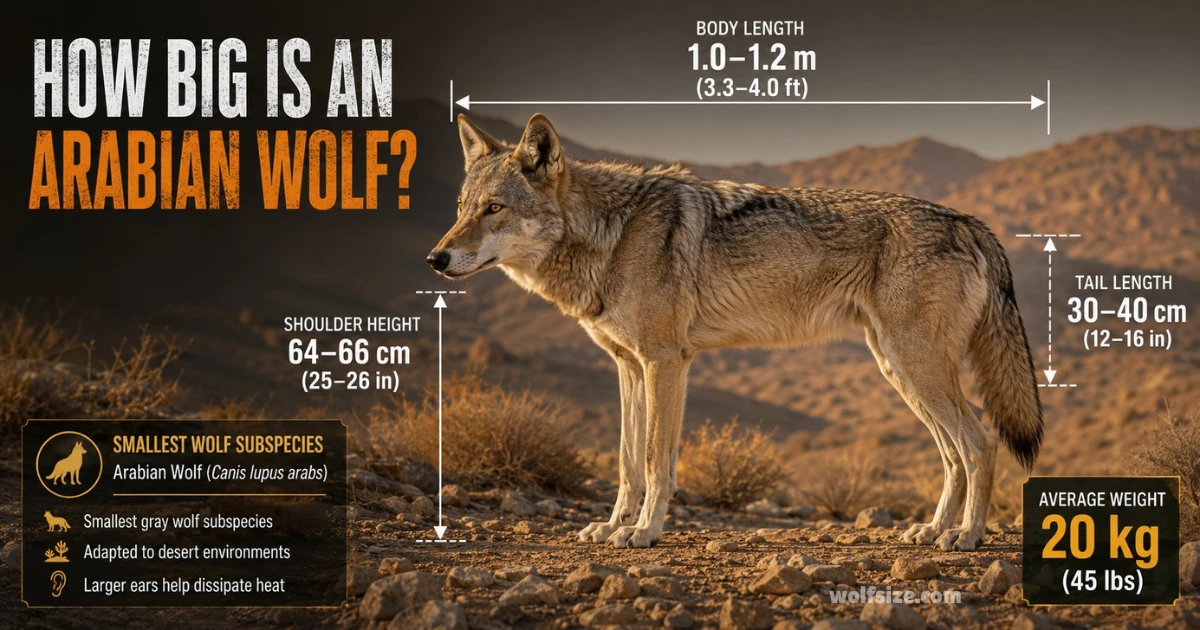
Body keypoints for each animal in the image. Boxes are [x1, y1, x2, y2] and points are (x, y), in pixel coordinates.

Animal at [428, 113, 1043, 551]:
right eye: (460, 207)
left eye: (494, 209)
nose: (436, 259)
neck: (611, 234)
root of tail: (971, 222)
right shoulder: (628, 366)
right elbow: (626, 463)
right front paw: (611, 527)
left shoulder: (665, 360)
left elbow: (655, 460)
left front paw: (644, 532)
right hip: (898, 369)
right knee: (953, 454)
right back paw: (934, 530)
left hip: (915, 367)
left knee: (980, 444)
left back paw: (966, 536)